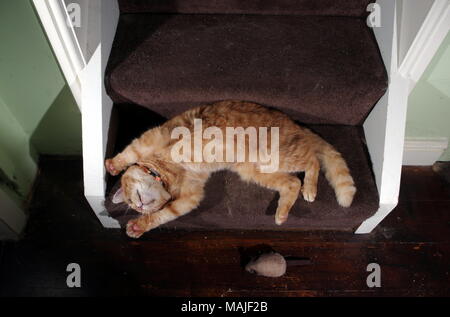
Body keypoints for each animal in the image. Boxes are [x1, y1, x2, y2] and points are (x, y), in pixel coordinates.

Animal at [104, 100, 356, 236]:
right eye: (133, 206)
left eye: (132, 198)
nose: (139, 206)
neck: (167, 174)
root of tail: (297, 125)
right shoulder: (191, 197)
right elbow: (165, 215)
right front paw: (140, 226)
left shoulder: (154, 137)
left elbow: (130, 153)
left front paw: (112, 165)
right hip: (256, 171)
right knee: (293, 182)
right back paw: (282, 214)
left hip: (281, 156)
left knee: (312, 160)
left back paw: (310, 189)